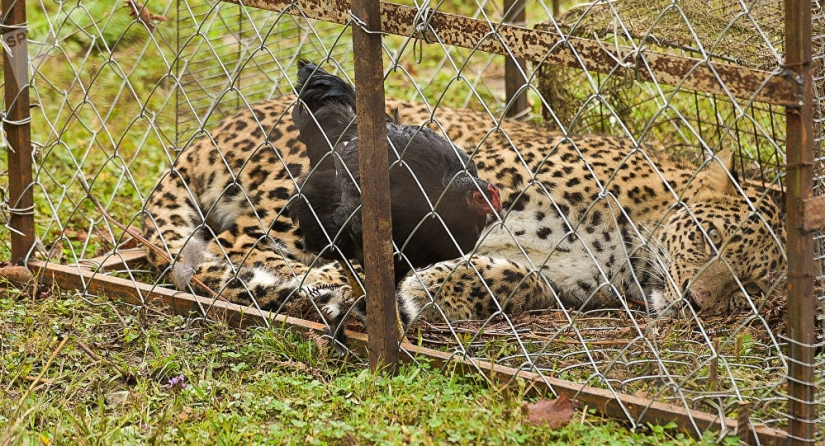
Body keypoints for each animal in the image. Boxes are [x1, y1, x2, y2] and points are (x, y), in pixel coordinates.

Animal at [141, 93, 786, 334]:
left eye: (750, 288)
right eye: (706, 237)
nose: (699, 301)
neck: (630, 246)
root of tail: (210, 134)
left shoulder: (565, 281)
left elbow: (509, 278)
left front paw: (429, 291)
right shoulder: (495, 168)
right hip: (294, 183)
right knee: (224, 255)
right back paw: (322, 282)